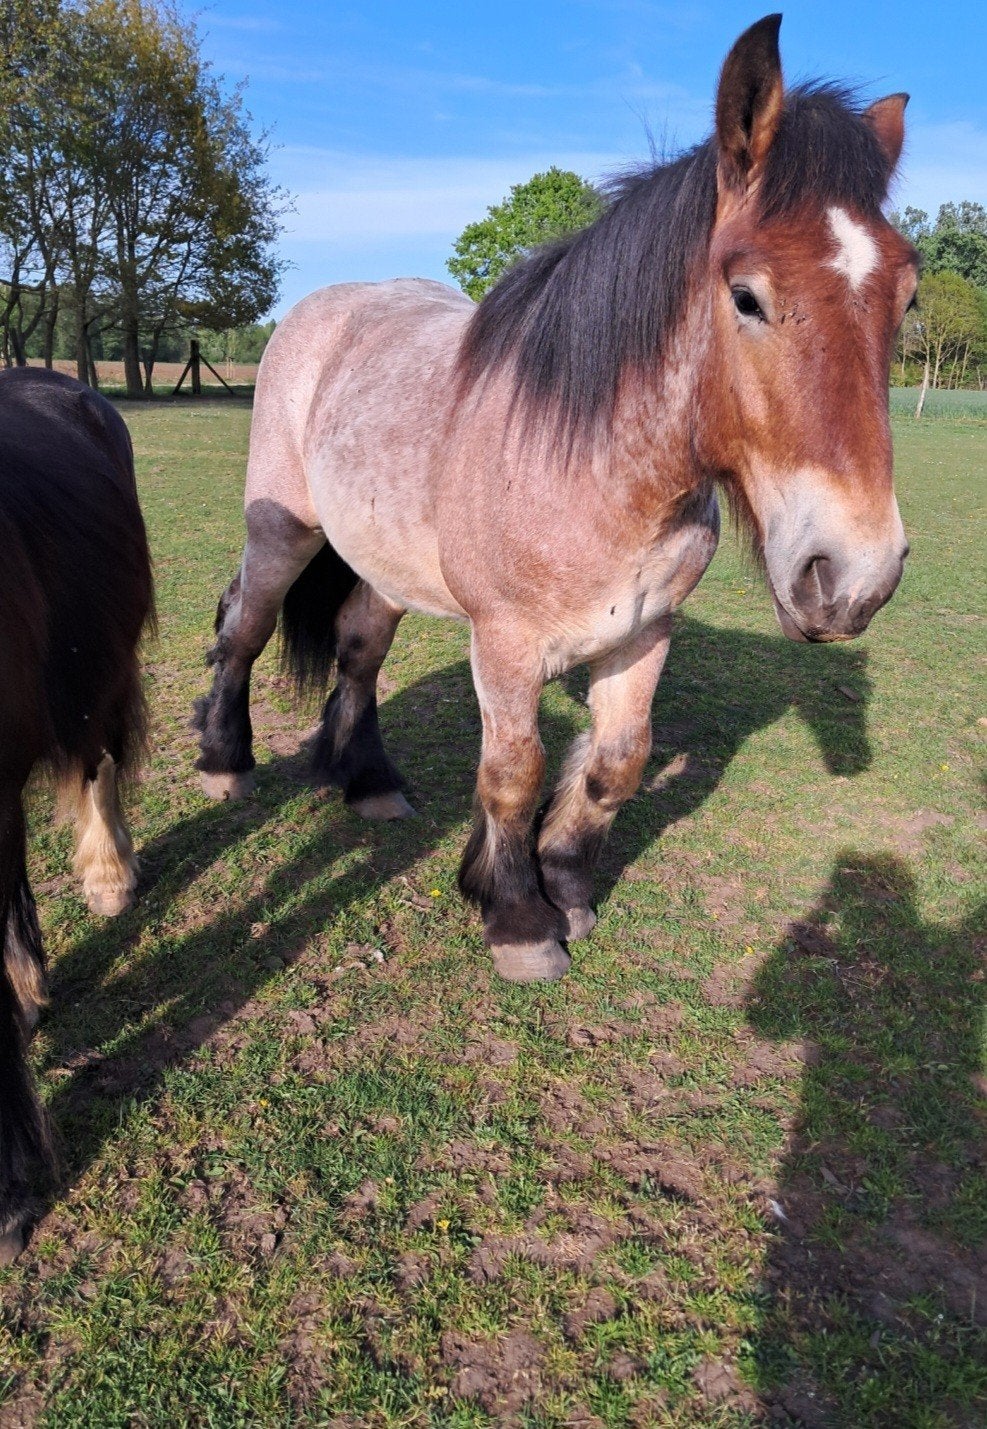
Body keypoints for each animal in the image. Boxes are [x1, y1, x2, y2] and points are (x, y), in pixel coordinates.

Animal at [194, 15, 916, 985]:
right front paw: (517, 919)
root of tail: (319, 312)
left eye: (906, 296)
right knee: (245, 625)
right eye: (746, 296)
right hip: (284, 530)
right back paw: (225, 761)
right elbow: (514, 774)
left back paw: (370, 781)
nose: (852, 578)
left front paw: (566, 886)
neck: (596, 471)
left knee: (357, 651)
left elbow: (616, 763)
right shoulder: (502, 645)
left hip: (383, 562)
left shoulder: (644, 631)